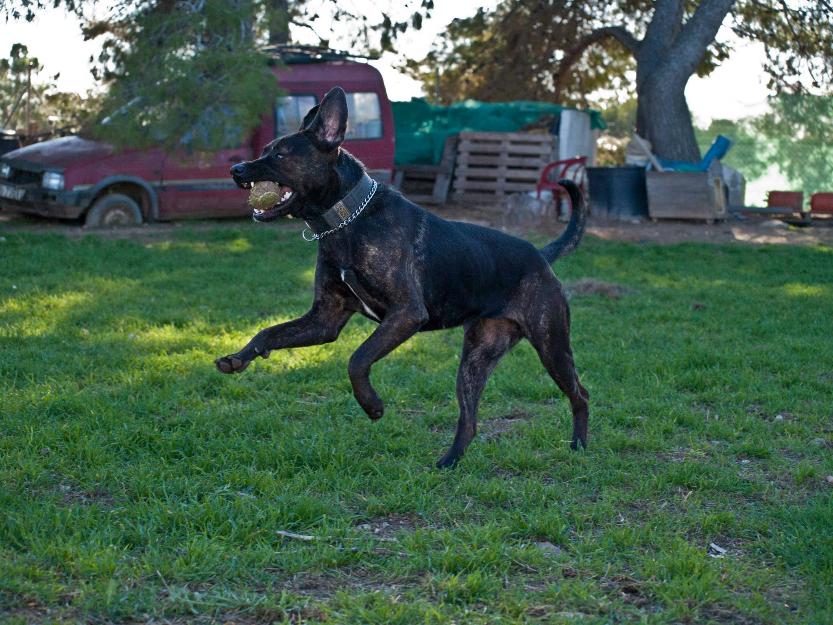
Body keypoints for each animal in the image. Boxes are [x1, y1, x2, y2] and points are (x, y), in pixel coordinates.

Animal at [218, 88, 588, 468]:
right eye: (265, 150)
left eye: (279, 154)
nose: (235, 169)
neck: (348, 220)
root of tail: (541, 256)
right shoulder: (325, 319)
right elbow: (269, 332)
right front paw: (239, 357)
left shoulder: (406, 314)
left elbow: (357, 359)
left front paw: (372, 405)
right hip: (476, 359)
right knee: (469, 419)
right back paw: (448, 463)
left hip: (551, 346)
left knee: (581, 393)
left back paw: (579, 445)